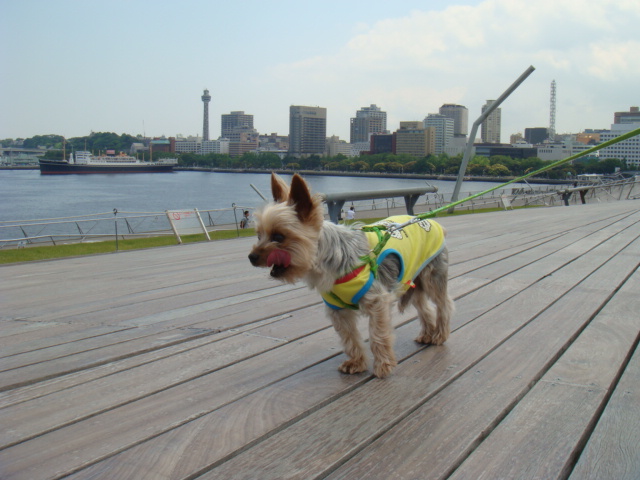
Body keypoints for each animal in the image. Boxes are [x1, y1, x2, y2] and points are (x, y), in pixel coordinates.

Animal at [248, 172, 452, 378]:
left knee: (443, 304)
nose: (251, 257)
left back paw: (439, 336)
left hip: (432, 274)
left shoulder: (377, 301)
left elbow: (378, 335)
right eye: (258, 235)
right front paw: (356, 363)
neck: (328, 260)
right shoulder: (337, 309)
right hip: (412, 277)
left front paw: (383, 366)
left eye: (279, 237)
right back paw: (427, 334)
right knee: (423, 306)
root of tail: (431, 222)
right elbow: (349, 337)